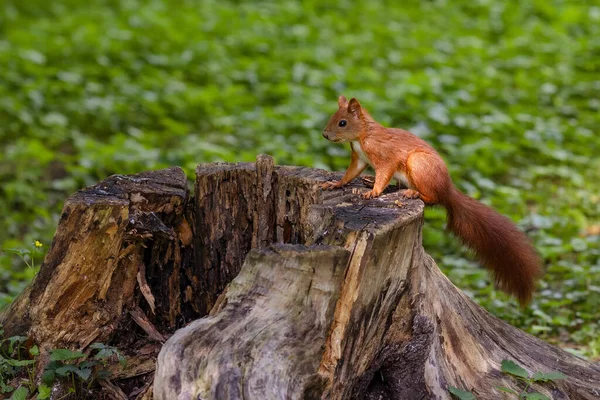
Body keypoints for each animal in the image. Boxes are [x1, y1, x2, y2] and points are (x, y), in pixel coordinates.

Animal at [324, 94, 544, 306]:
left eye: (342, 122)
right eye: (332, 117)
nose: (325, 135)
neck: (363, 135)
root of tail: (447, 189)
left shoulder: (385, 156)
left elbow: (385, 172)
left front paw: (374, 192)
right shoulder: (359, 159)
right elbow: (350, 174)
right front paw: (334, 184)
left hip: (418, 164)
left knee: (433, 198)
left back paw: (412, 193)